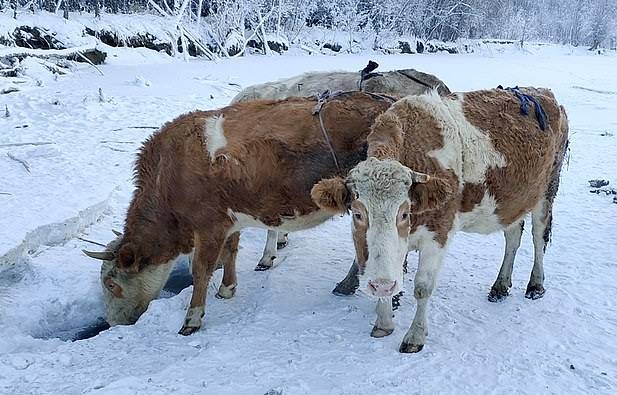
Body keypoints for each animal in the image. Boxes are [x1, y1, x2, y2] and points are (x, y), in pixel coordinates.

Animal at [84, 91, 392, 332]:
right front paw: (227, 289)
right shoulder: (229, 219)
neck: (169, 172)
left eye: (110, 284)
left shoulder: (208, 225)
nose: (112, 323)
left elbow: (201, 270)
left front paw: (192, 319)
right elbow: (230, 251)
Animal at [312, 88, 568, 354]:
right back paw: (500, 286)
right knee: (513, 237)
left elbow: (422, 288)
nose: (379, 286)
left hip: (547, 192)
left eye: (404, 213)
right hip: (514, 201)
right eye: (358, 214)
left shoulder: (439, 234)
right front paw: (383, 322)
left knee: (539, 238)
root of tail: (544, 94)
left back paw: (535, 285)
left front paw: (415, 336)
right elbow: (392, 273)